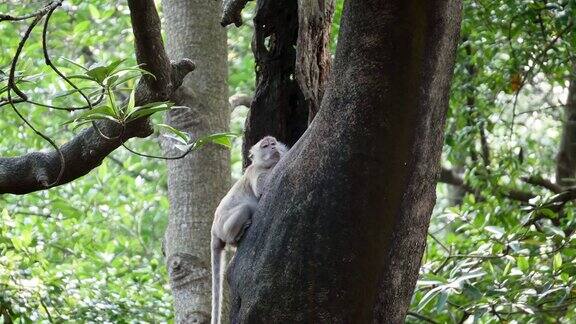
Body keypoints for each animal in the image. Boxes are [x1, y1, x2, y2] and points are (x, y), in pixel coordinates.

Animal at [210, 135, 286, 322]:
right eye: (265, 146)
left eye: (273, 143)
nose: (273, 147)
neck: (265, 165)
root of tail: (214, 228)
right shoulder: (254, 172)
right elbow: (262, 188)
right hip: (224, 226)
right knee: (245, 208)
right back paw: (236, 237)